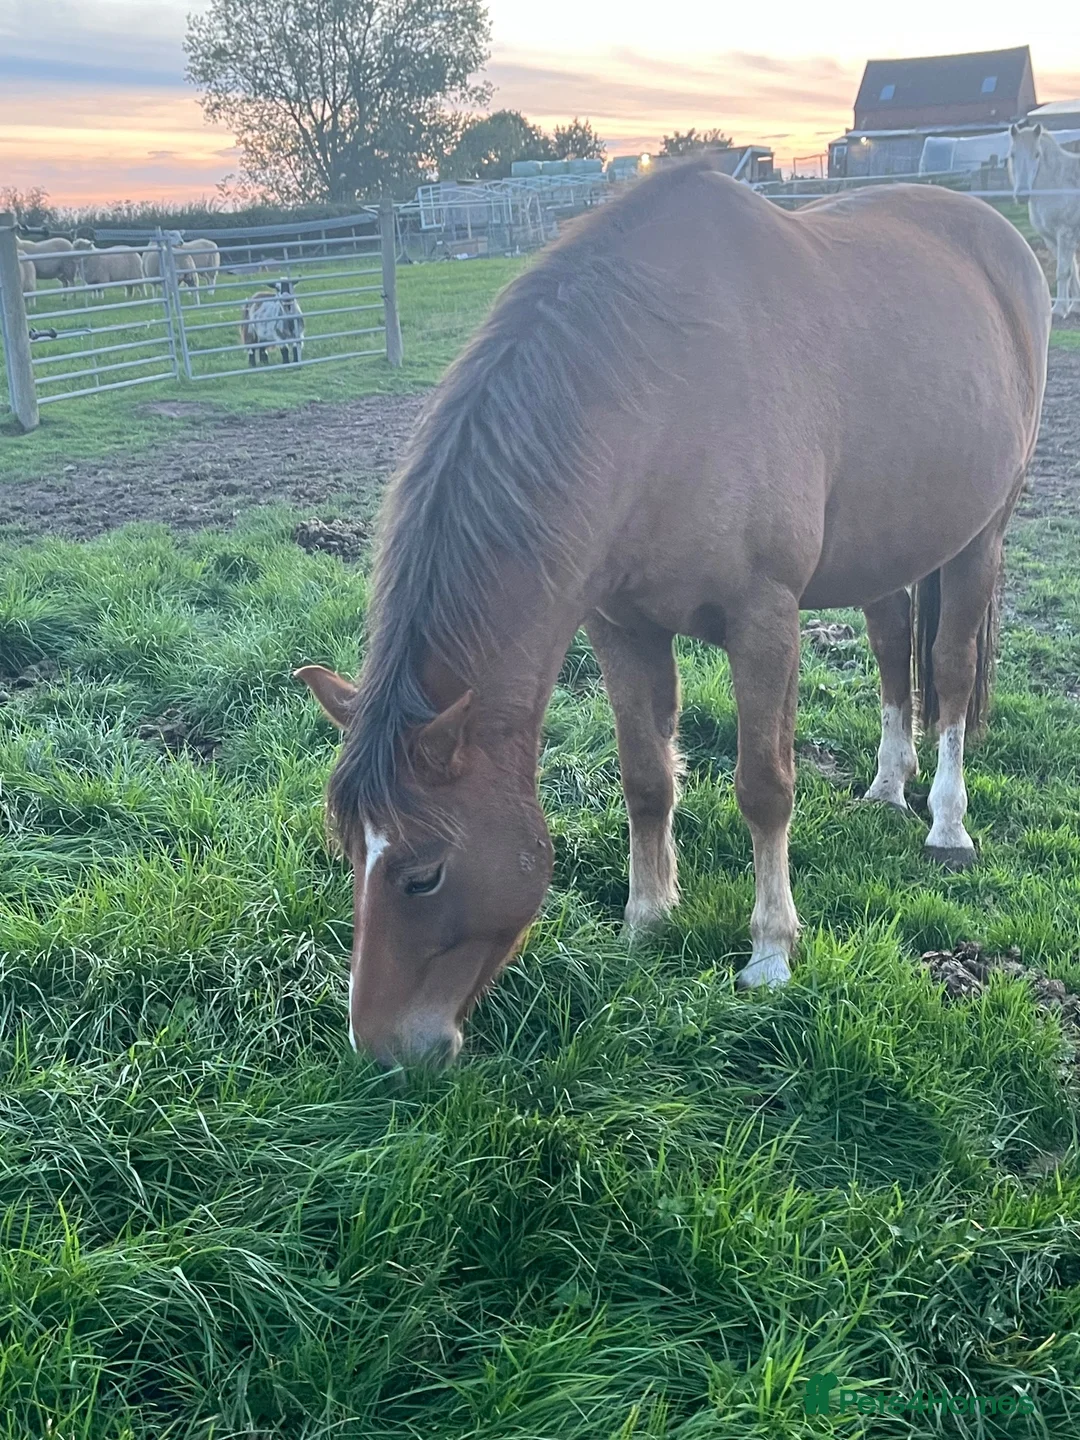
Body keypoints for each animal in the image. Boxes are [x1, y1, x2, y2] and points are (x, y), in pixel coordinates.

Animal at [296, 160, 1050, 1068]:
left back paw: (945, 824)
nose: (377, 1047)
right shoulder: (621, 627)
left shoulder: (764, 621)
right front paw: (648, 920)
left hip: (981, 535)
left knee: (950, 672)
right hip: (890, 547)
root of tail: (1001, 237)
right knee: (889, 642)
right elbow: (647, 779)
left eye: (423, 874)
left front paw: (770, 952)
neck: (659, 397)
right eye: (347, 850)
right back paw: (884, 787)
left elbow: (764, 787)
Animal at [1009, 121, 1080, 319]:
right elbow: (1072, 271)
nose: (1022, 195)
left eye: (1037, 154)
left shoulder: (1066, 234)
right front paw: (1075, 307)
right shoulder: (1052, 239)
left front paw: (1059, 309)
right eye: (1012, 154)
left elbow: (1063, 272)